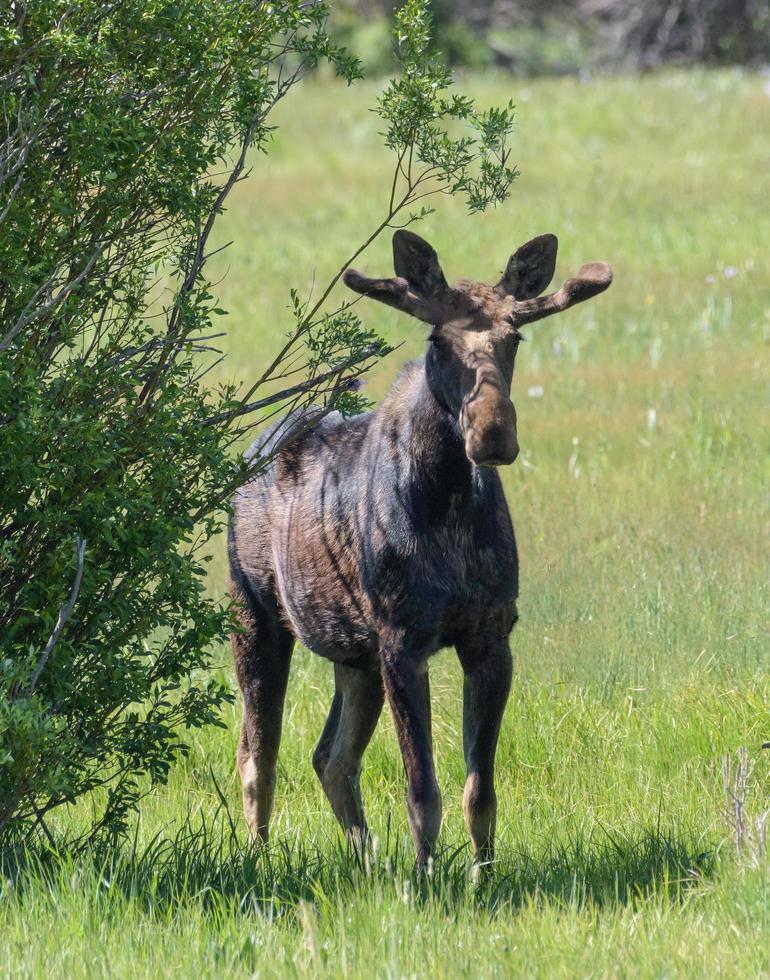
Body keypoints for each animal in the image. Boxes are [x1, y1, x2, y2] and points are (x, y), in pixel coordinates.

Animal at [228, 230, 612, 864]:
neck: (449, 505)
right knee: (259, 756)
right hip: (256, 616)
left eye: (515, 337)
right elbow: (423, 791)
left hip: (353, 655)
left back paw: (366, 859)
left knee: (331, 758)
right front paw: (426, 878)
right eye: (438, 339)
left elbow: (480, 792)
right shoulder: (403, 640)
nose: (492, 431)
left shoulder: (489, 636)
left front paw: (482, 875)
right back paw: (259, 861)